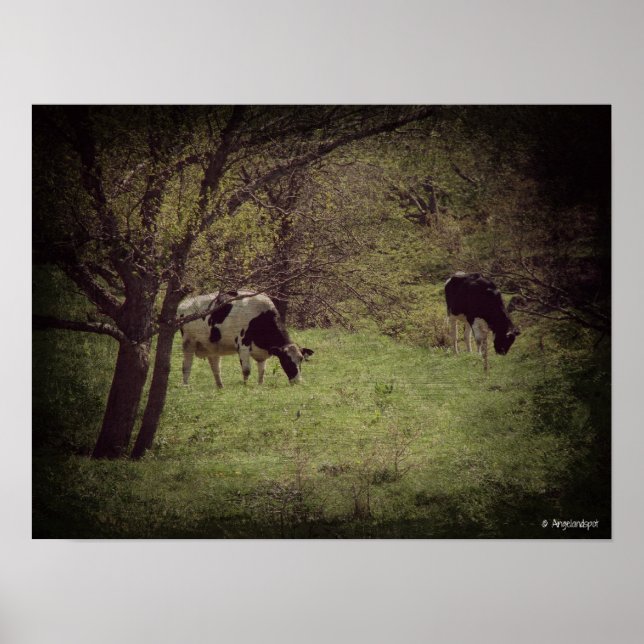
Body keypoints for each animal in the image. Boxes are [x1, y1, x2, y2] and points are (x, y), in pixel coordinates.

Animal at [178, 291, 314, 387]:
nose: (297, 381)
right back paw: (186, 386)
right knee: (186, 366)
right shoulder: (243, 345)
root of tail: (185, 304)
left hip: (212, 346)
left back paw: (220, 387)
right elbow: (246, 370)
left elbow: (262, 370)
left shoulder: (261, 352)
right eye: (286, 361)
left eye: (301, 359)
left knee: (215, 367)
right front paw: (245, 386)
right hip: (188, 343)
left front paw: (260, 385)